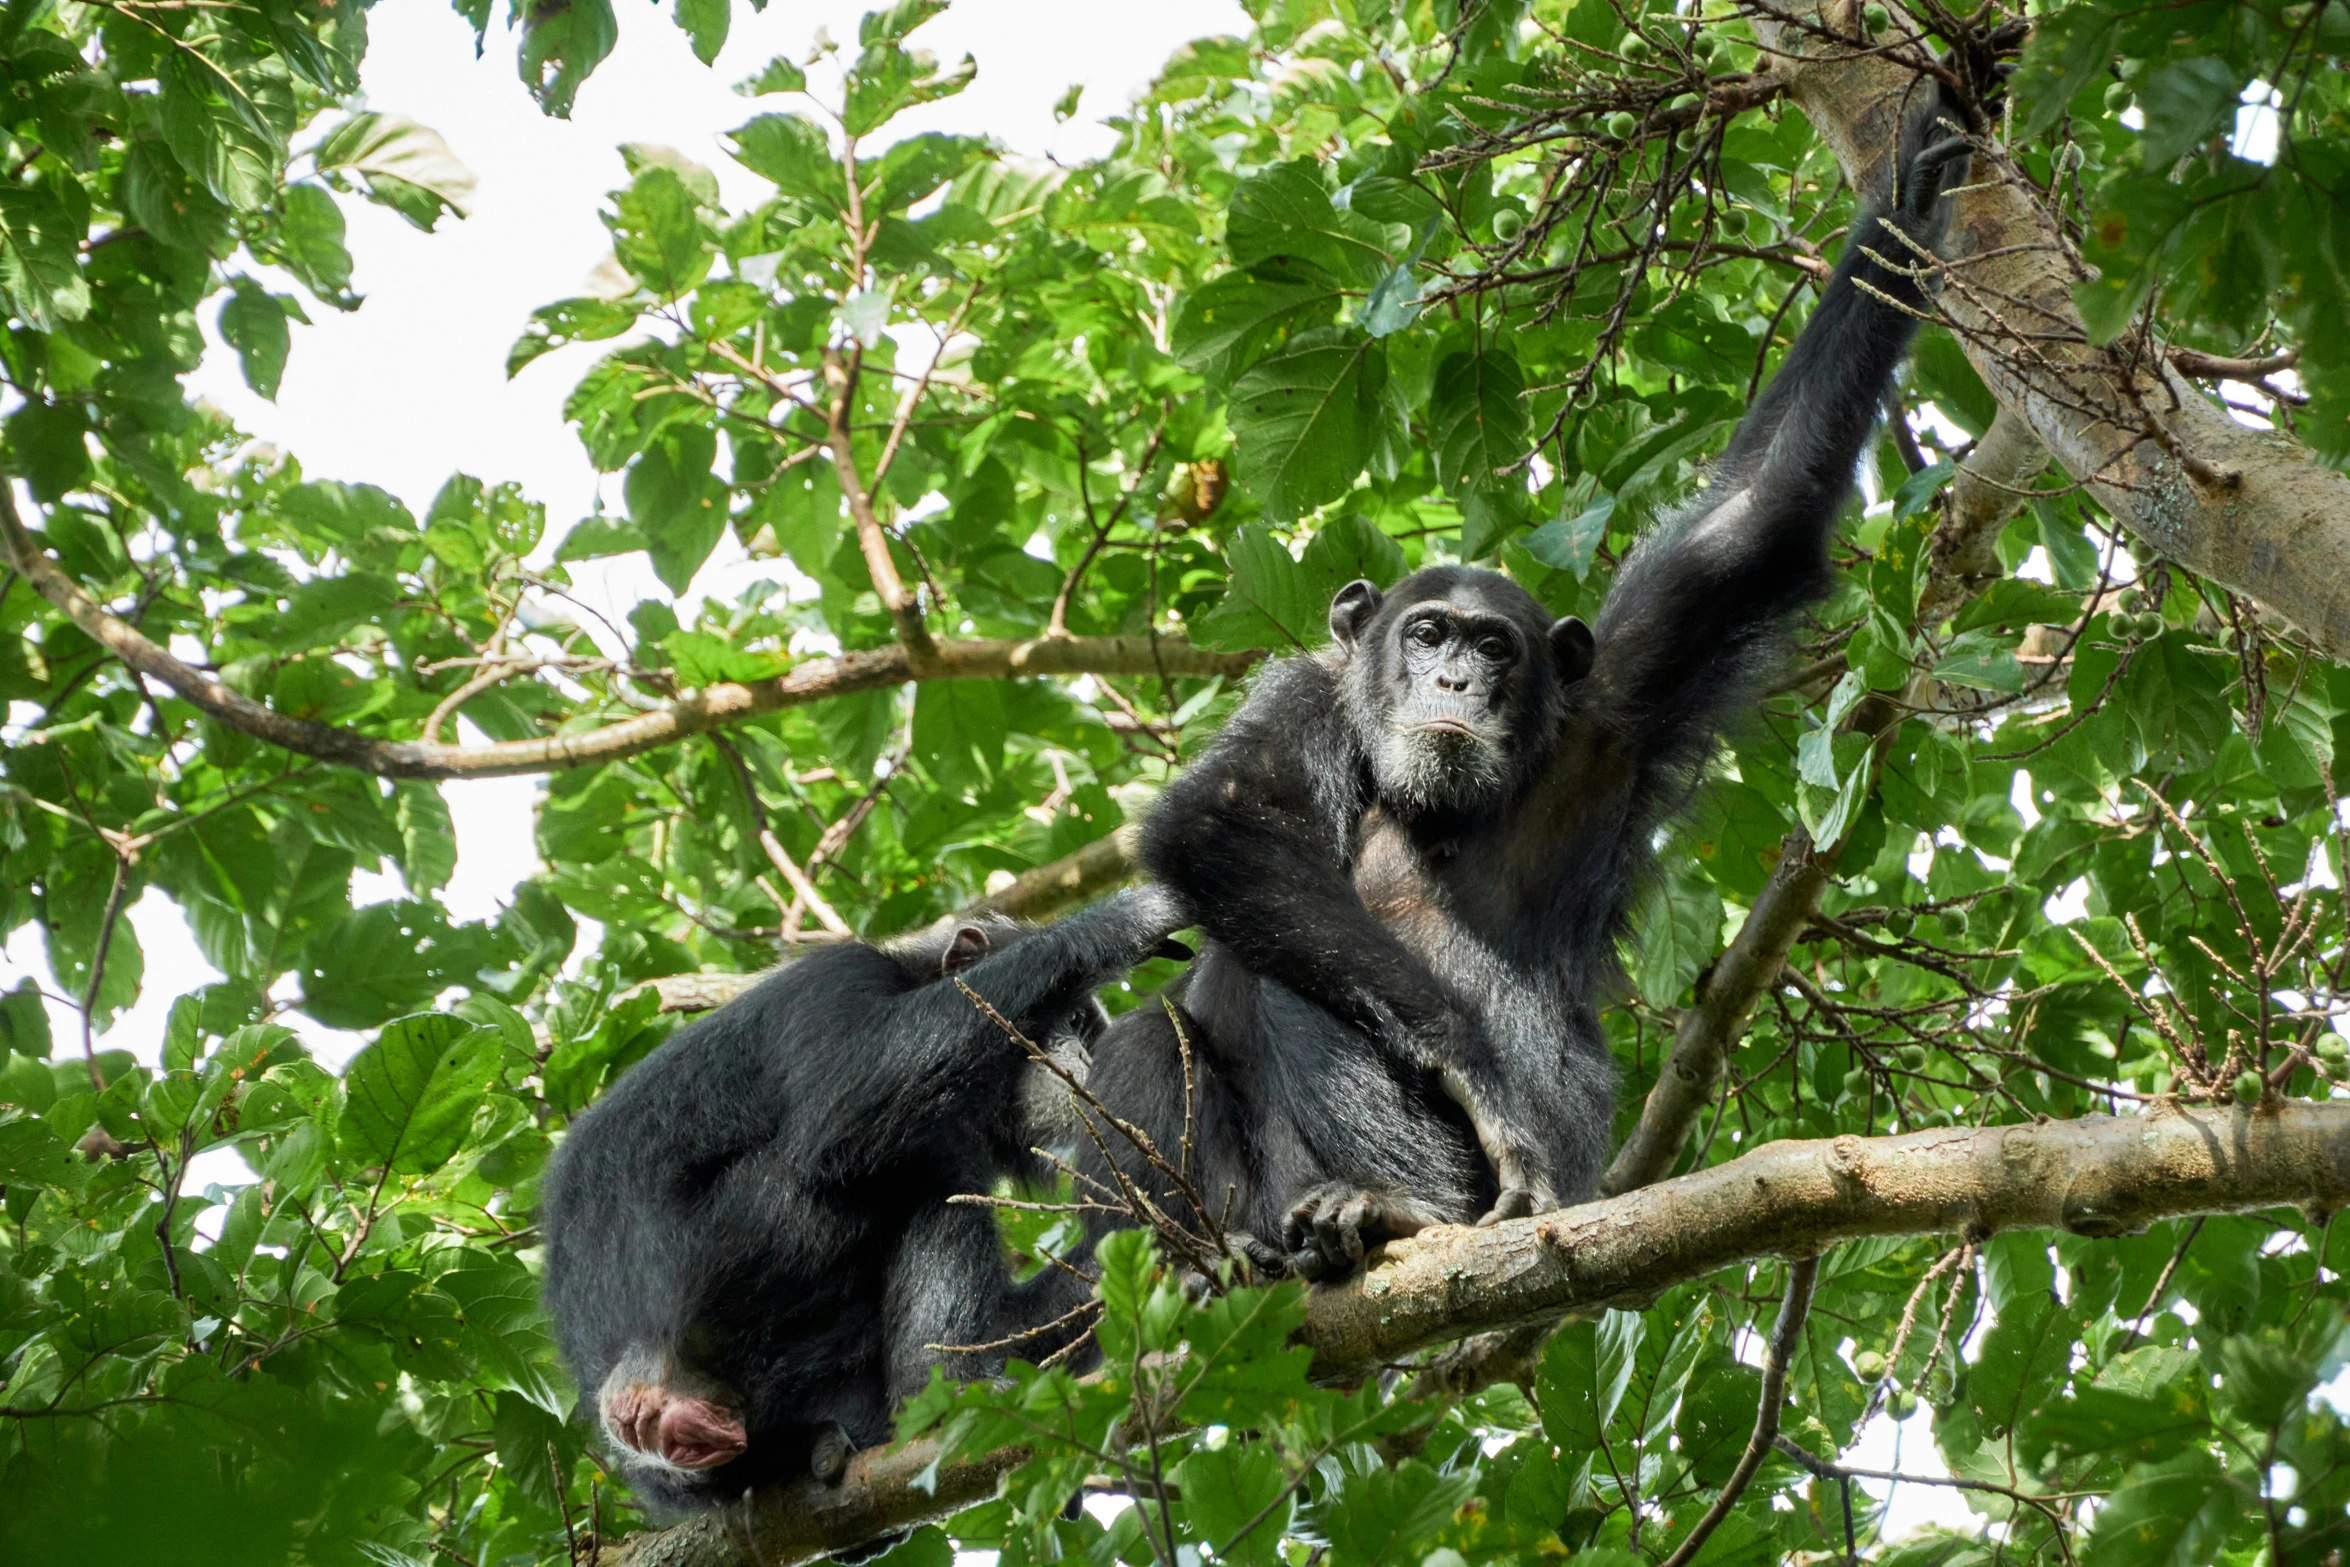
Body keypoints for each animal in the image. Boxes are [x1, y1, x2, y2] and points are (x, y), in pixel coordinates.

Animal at [540, 888, 1184, 1512]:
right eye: (1072, 1017)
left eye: (1089, 1030)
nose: (1088, 1055)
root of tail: (633, 1399)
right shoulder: (833, 979)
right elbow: (846, 1097)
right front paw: (1128, 917)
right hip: (722, 1261)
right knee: (917, 1172)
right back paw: (944, 1384)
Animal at [1081, 76, 1983, 1278]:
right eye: (1425, 635)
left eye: (1493, 647)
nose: (1455, 681)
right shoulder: (1304, 694)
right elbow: (1223, 818)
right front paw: (1472, 1063)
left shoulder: (1627, 691)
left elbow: (1761, 510)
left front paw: (1912, 198)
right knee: (1181, 1013)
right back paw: (1200, 1258)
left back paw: (1390, 1211)